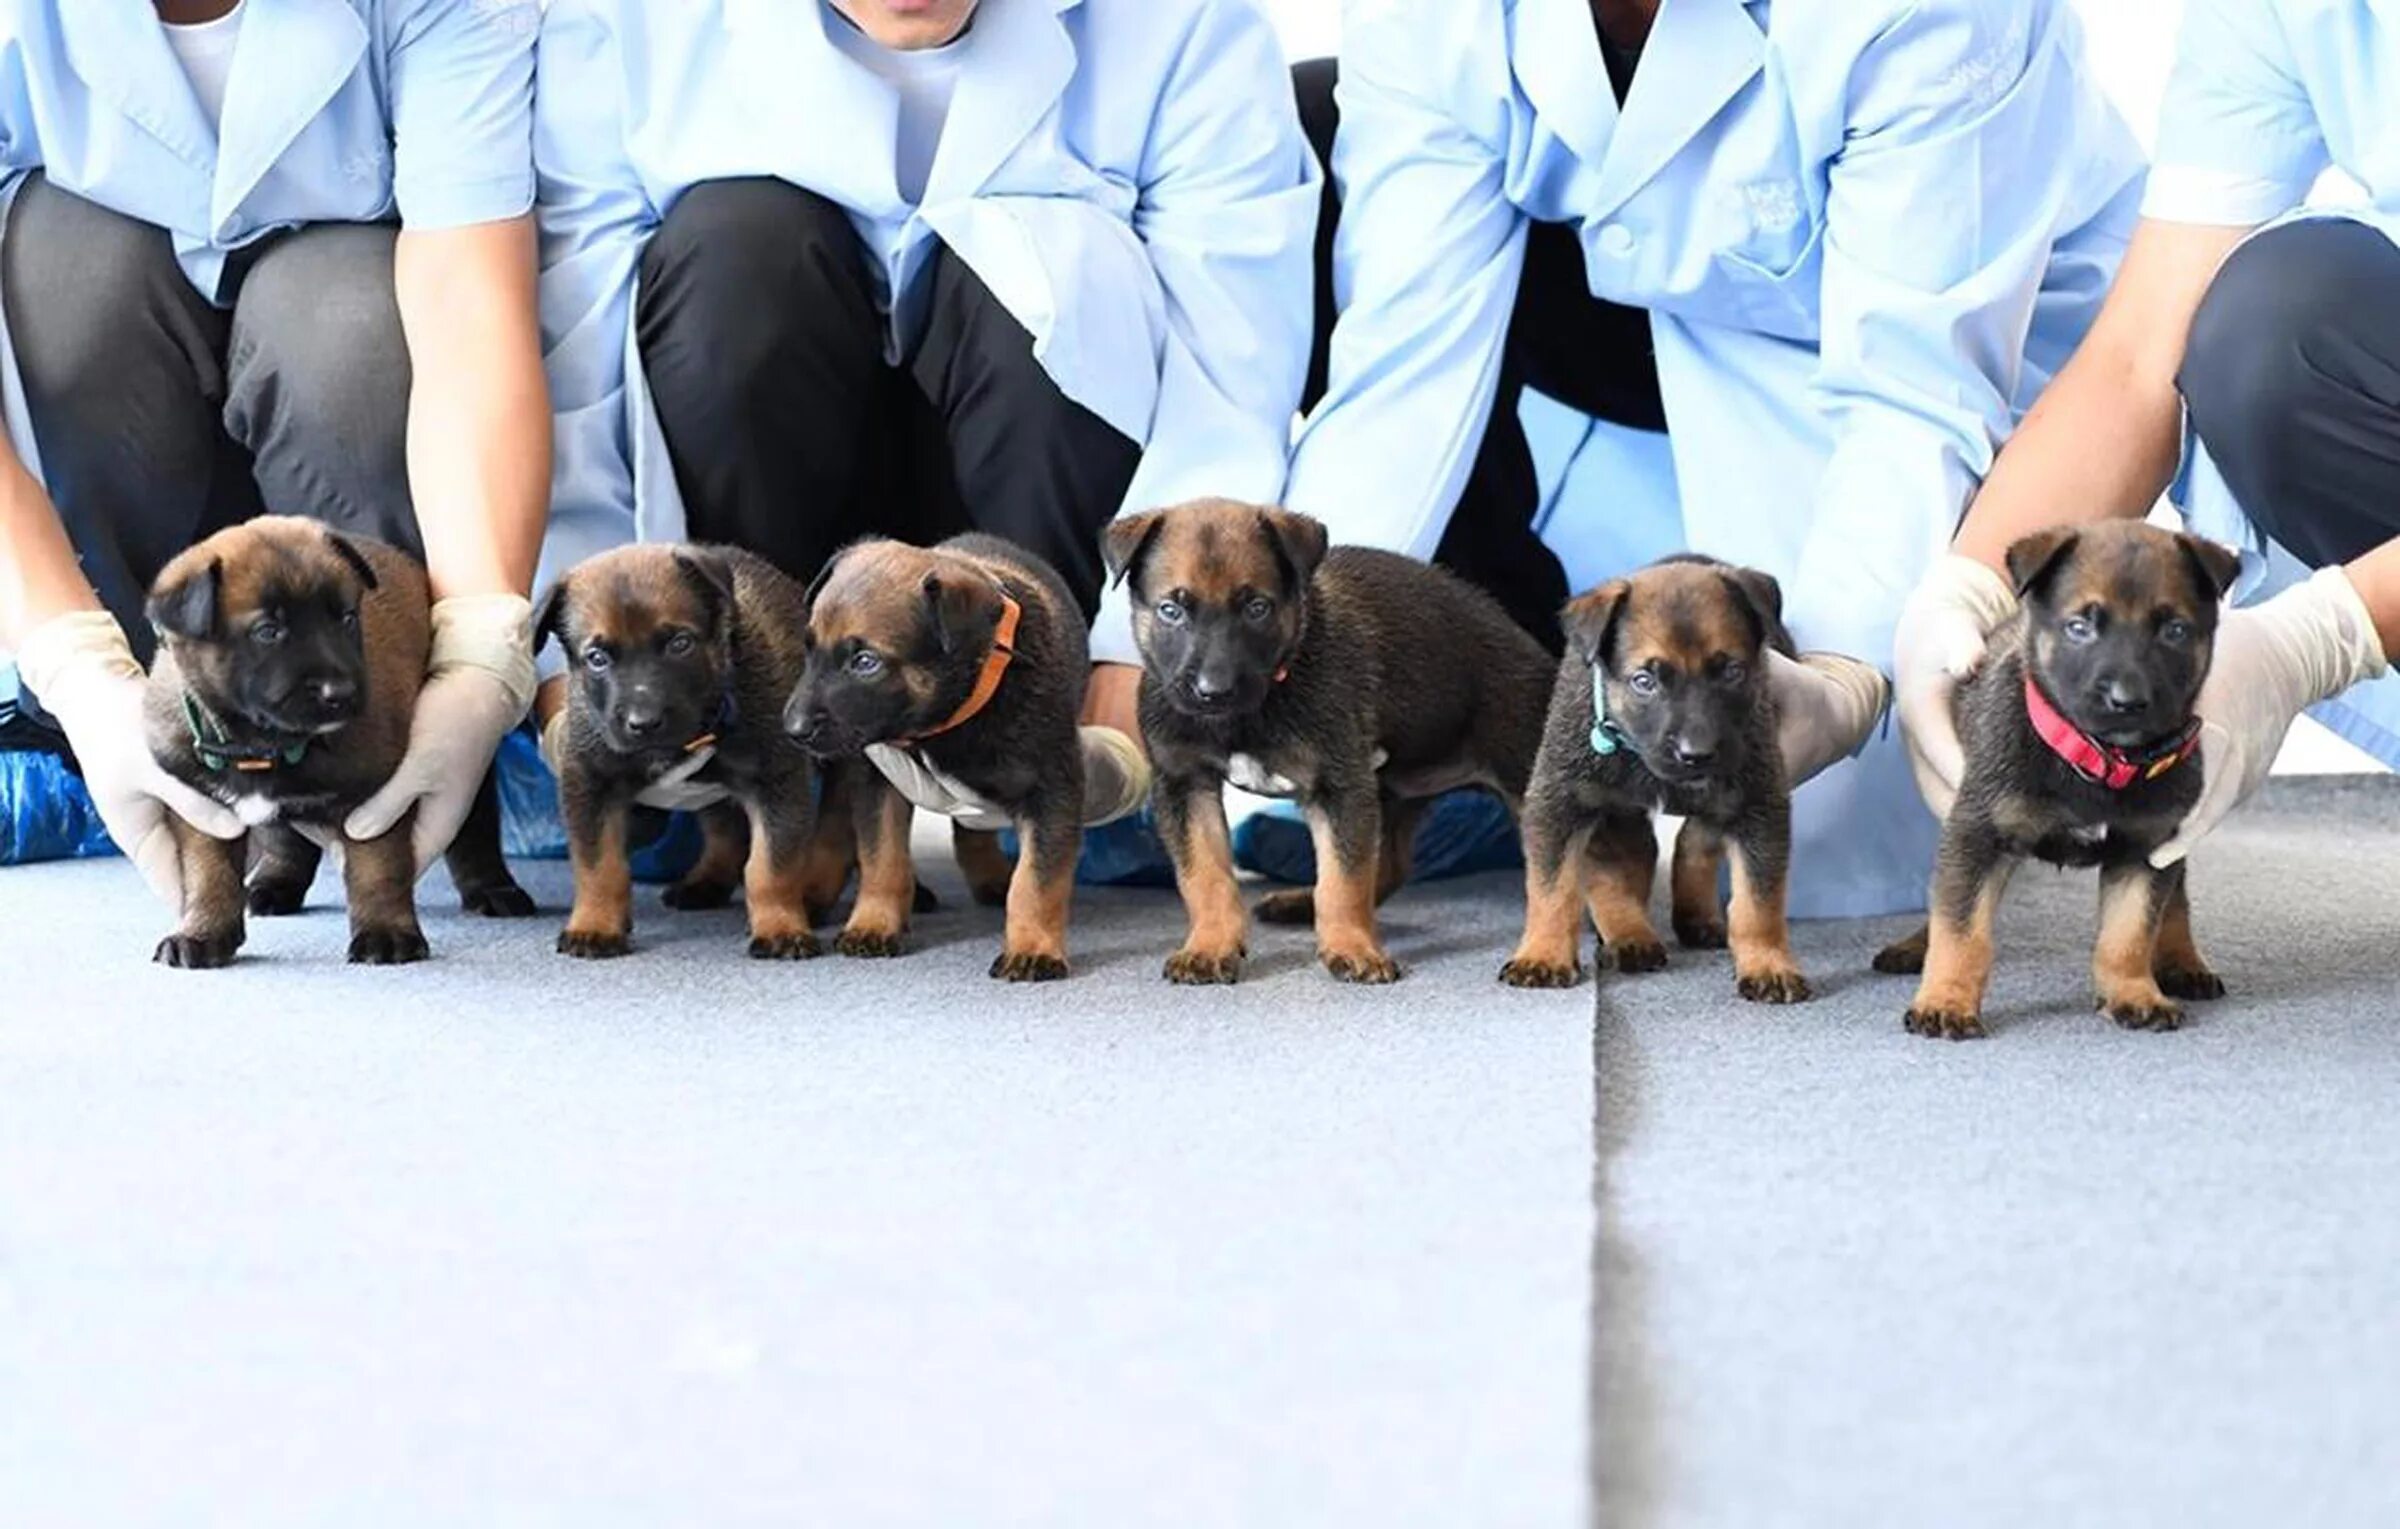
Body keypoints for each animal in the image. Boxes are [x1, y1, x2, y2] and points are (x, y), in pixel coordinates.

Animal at [145, 513, 535, 964]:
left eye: (348, 618)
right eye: (268, 631)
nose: (341, 693)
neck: (262, 745)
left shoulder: (375, 797)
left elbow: (377, 870)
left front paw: (386, 933)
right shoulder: (202, 811)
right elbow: (208, 875)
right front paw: (202, 934)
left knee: (474, 833)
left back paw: (492, 888)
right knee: (286, 843)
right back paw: (274, 884)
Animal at [540, 542, 849, 960]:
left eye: (680, 644)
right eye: (597, 658)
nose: (644, 722)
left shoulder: (778, 782)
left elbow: (770, 868)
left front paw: (781, 927)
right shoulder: (590, 783)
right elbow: (599, 866)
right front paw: (595, 924)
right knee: (723, 833)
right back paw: (706, 882)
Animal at [1104, 494, 1555, 984]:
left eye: (1257, 608)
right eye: (1171, 610)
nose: (1214, 691)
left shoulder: (1339, 787)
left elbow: (1344, 878)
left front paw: (1352, 947)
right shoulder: (1184, 784)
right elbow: (1205, 874)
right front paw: (1210, 945)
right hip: (1392, 790)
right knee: (1390, 864)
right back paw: (1302, 902)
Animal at [1488, 554, 1804, 993]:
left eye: (1732, 672)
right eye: (1644, 681)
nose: (1696, 755)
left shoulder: (1758, 805)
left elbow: (1759, 902)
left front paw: (1767, 964)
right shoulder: (1566, 803)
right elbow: (1556, 886)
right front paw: (1544, 954)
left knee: (1694, 841)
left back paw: (1695, 917)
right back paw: (1631, 936)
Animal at [1862, 520, 2236, 1036]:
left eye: (2175, 632)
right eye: (2079, 627)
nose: (2127, 700)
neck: (2098, 759)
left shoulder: (2146, 848)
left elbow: (2130, 933)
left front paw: (2133, 993)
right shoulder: (1979, 834)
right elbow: (1961, 928)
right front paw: (1946, 1000)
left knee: (2175, 899)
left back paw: (2183, 960)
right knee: (1943, 898)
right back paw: (1917, 947)